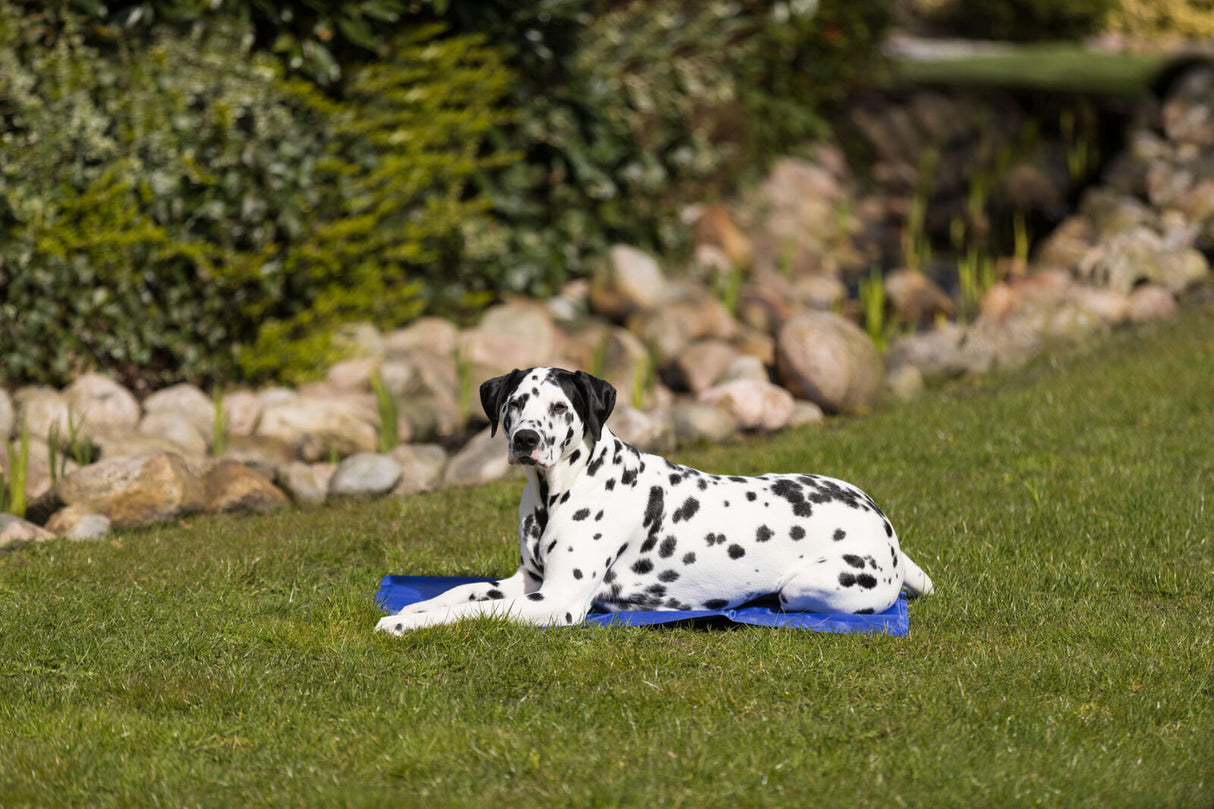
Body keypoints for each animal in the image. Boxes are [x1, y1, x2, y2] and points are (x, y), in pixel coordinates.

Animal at [373, 366, 932, 636]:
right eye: (514, 404)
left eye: (560, 406)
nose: (526, 439)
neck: (560, 491)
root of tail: (888, 530)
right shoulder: (525, 582)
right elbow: (459, 593)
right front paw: (414, 605)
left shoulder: (557, 601)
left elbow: (470, 612)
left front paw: (404, 622)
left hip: (807, 588)